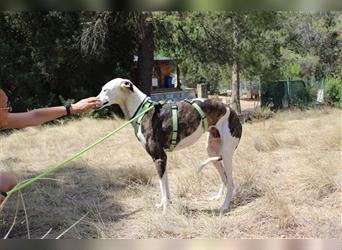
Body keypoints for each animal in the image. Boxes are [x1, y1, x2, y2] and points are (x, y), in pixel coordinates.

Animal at [97, 77, 243, 213]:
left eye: (105, 90)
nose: (95, 101)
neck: (142, 111)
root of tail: (231, 110)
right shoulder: (162, 158)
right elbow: (165, 186)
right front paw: (165, 204)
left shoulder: (159, 157)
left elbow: (162, 186)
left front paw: (165, 210)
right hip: (212, 151)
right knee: (224, 177)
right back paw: (218, 197)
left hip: (226, 153)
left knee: (231, 182)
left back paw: (225, 205)